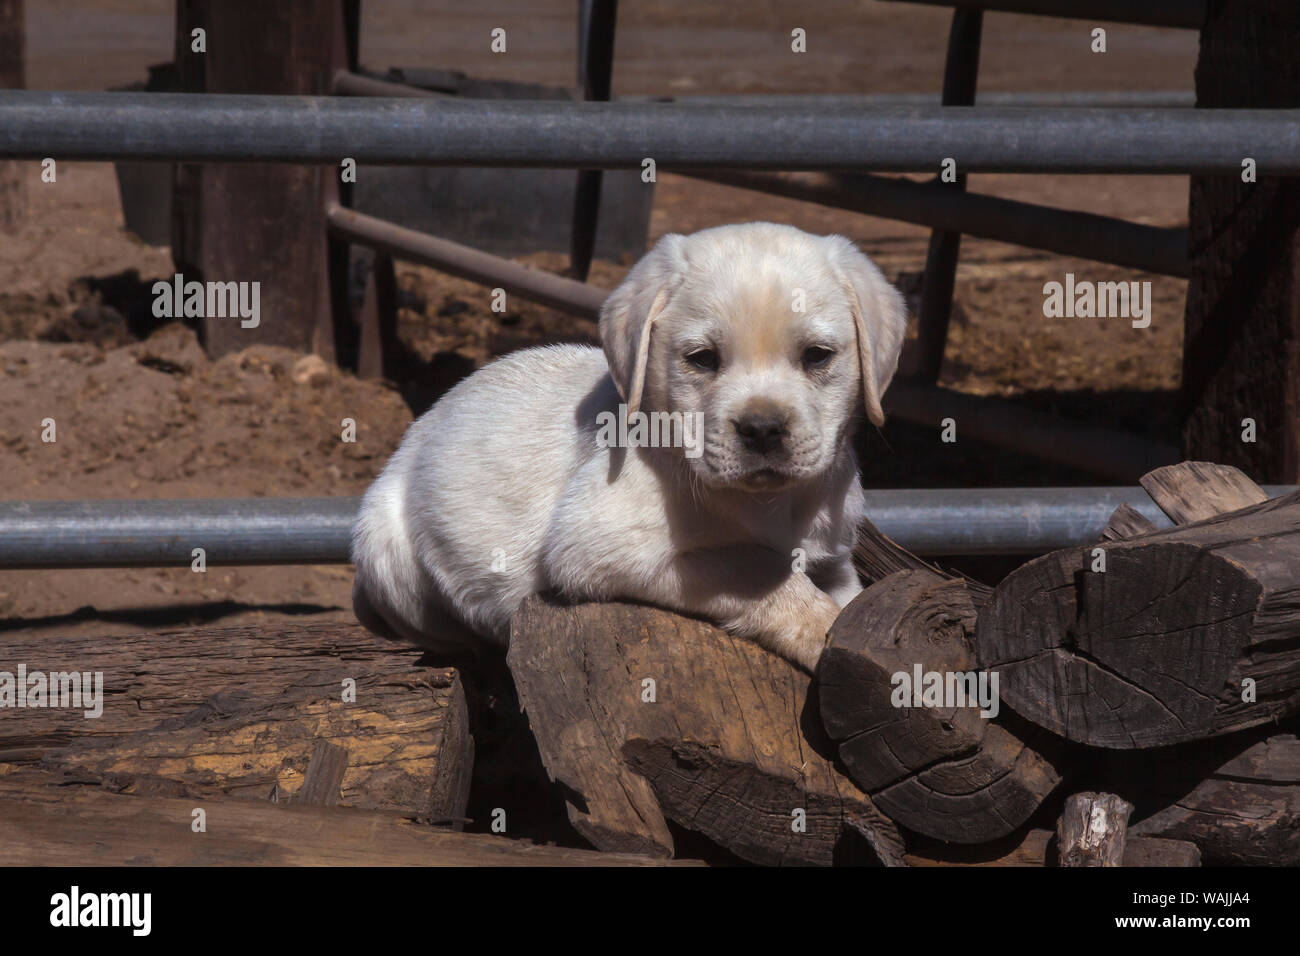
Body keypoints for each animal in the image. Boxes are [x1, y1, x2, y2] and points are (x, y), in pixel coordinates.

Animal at [351, 223, 909, 671]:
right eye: (702, 358)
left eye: (817, 356)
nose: (763, 429)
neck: (772, 502)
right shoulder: (597, 545)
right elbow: (758, 567)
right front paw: (821, 632)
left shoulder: (834, 556)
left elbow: (846, 593)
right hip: (384, 547)